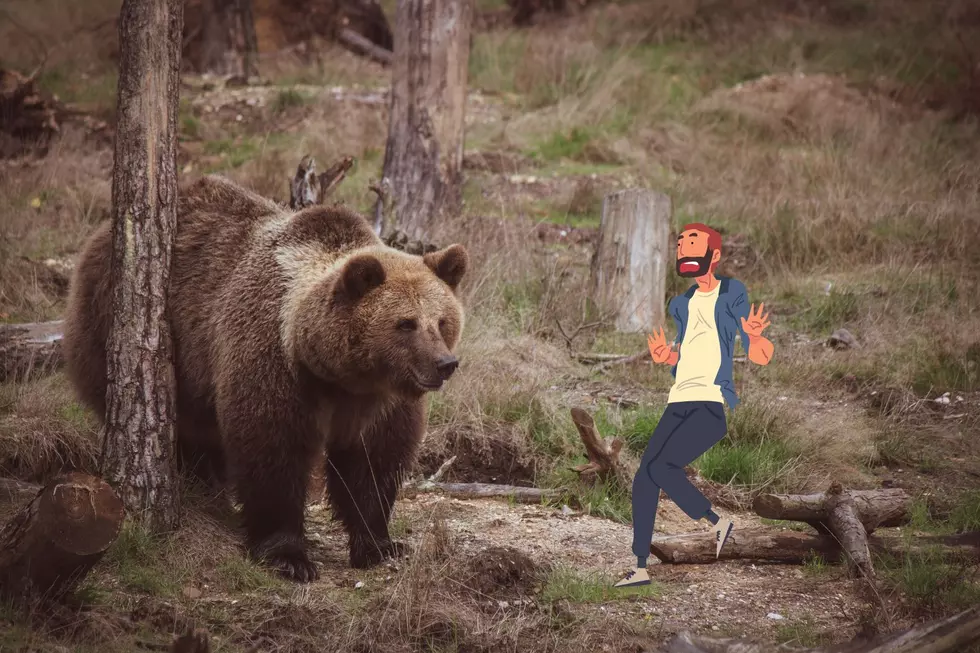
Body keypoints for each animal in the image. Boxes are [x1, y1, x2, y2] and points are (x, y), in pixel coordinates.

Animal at [62, 175, 468, 582]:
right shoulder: (273, 361)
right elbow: (271, 450)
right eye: (406, 323)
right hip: (120, 327)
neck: (337, 373)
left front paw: (380, 545)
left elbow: (373, 464)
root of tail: (100, 235)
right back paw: (203, 485)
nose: (445, 363)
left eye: (441, 321)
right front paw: (288, 556)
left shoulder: (379, 402)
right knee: (186, 428)